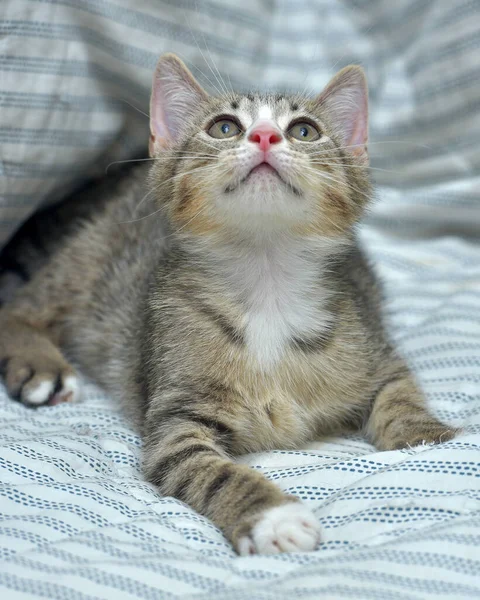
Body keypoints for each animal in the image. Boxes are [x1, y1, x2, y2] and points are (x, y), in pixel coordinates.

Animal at [0, 54, 456, 556]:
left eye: (304, 131)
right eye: (223, 127)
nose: (265, 136)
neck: (267, 287)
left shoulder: (370, 337)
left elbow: (401, 392)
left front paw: (427, 437)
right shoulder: (175, 421)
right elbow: (213, 472)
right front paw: (273, 516)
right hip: (86, 258)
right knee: (18, 306)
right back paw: (42, 367)